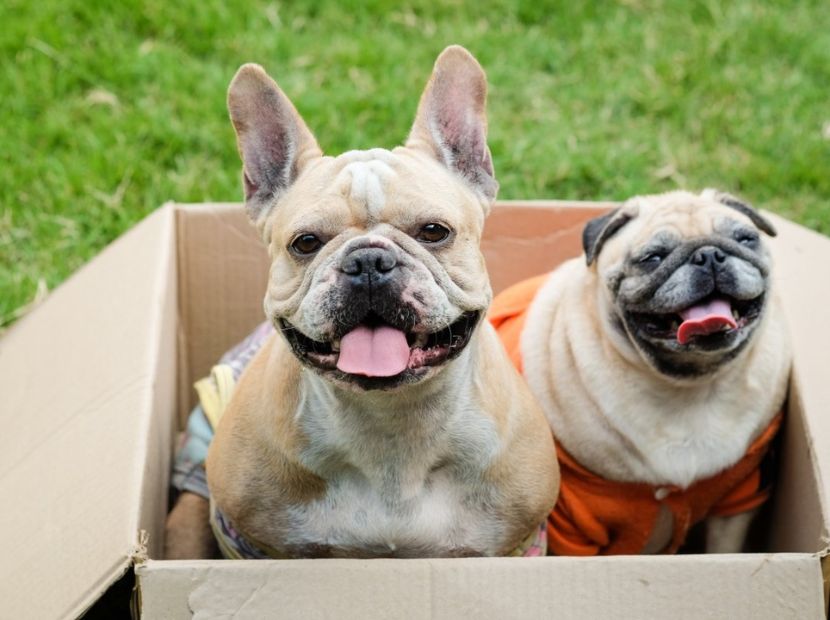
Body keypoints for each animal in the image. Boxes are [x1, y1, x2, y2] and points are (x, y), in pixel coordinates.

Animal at [166, 46, 564, 560]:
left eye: (434, 231)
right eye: (305, 242)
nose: (369, 261)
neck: (390, 425)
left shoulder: (519, 544)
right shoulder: (248, 542)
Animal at [494, 190, 792, 556]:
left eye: (745, 239)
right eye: (653, 258)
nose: (708, 255)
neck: (689, 384)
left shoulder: (739, 499)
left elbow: (725, 549)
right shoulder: (574, 525)